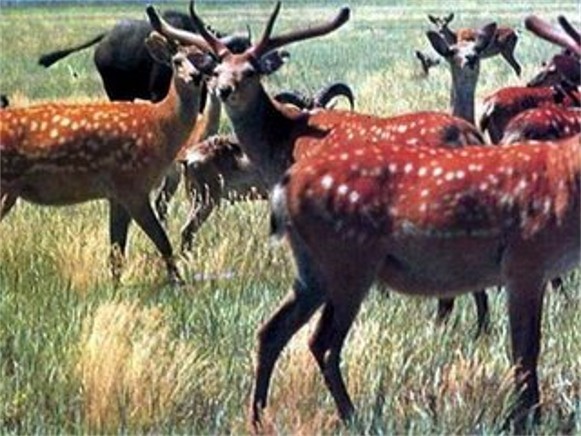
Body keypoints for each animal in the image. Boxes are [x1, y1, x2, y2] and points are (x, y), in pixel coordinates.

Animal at [0, 10, 212, 284]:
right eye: (177, 61)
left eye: (204, 60)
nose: (196, 77)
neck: (159, 126)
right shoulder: (132, 184)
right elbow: (162, 241)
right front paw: (179, 283)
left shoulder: (116, 194)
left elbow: (116, 253)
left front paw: (115, 287)